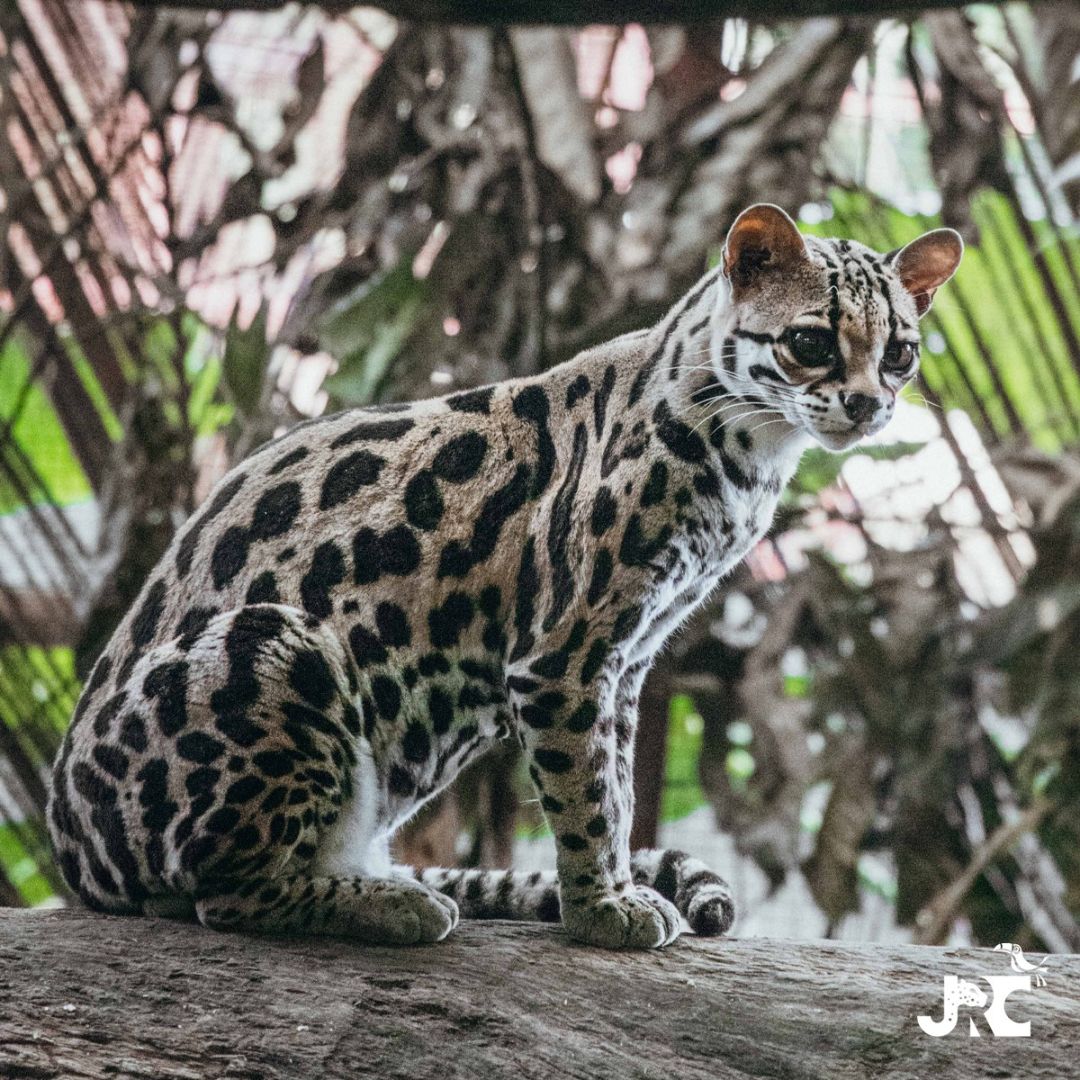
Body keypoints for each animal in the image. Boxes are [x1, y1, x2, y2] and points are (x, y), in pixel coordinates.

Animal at [48, 205, 962, 949]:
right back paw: (391, 906)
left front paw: (612, 892)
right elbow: (587, 798)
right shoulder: (565, 656)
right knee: (223, 896)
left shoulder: (626, 660)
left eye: (900, 354)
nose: (867, 405)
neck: (751, 454)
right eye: (811, 342)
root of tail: (71, 855)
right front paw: (601, 911)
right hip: (273, 642)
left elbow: (616, 785)